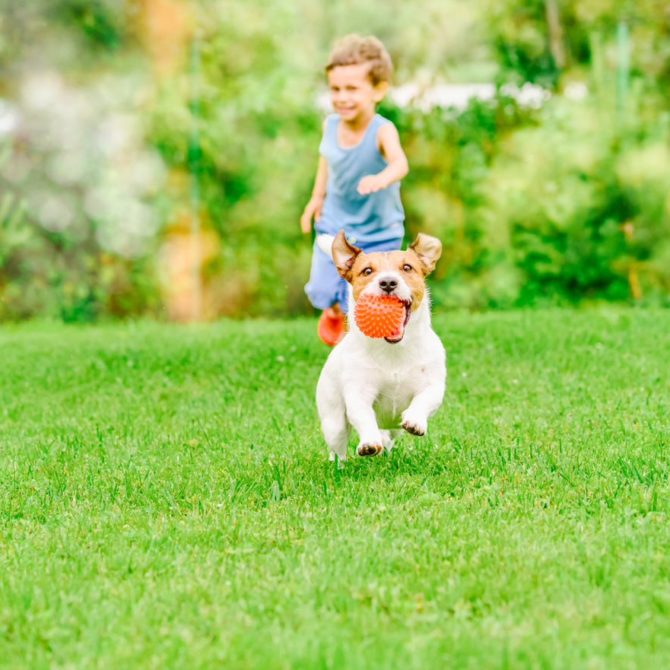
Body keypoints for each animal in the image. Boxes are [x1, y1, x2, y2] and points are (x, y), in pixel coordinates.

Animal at [318, 231, 448, 462]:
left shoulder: (433, 384)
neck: (394, 350)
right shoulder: (359, 392)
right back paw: (339, 465)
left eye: (407, 267)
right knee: (338, 448)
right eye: (367, 271)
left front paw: (415, 421)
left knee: (389, 436)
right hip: (333, 422)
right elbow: (363, 415)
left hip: (392, 428)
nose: (388, 282)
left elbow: (425, 399)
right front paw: (369, 443)